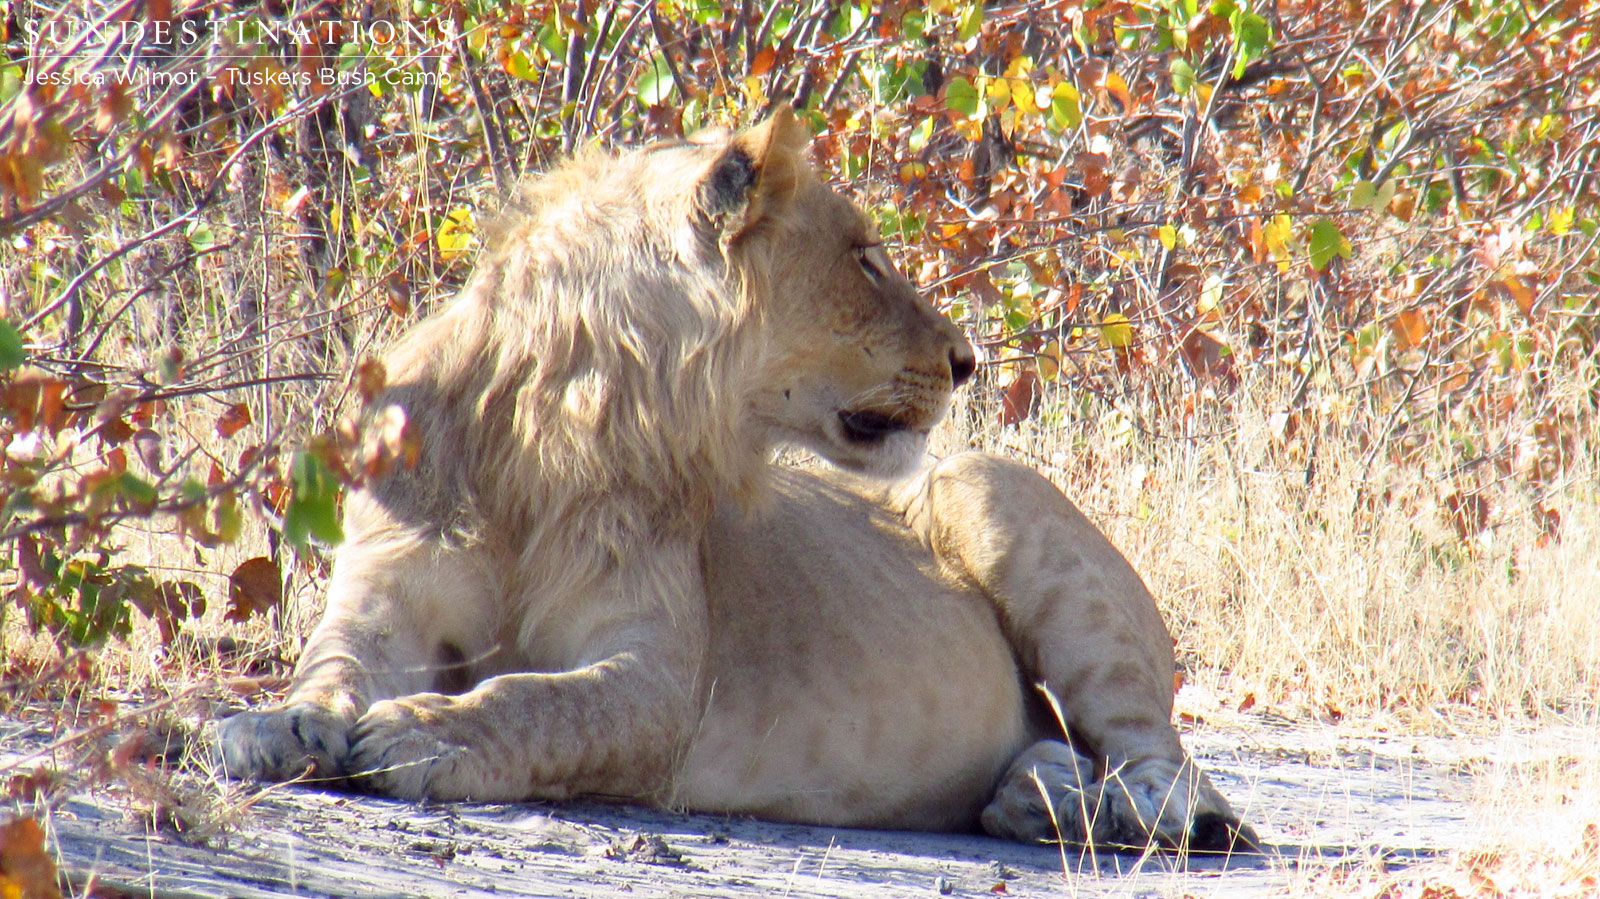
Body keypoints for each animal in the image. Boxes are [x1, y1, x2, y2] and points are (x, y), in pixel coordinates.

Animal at [218, 106, 1255, 851]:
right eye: (866, 261)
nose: (968, 362)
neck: (556, 425)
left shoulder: (659, 682)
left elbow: (538, 699)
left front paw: (426, 731)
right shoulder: (384, 595)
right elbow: (331, 663)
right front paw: (273, 726)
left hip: (986, 486)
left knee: (1169, 765)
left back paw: (1110, 810)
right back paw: (1038, 797)